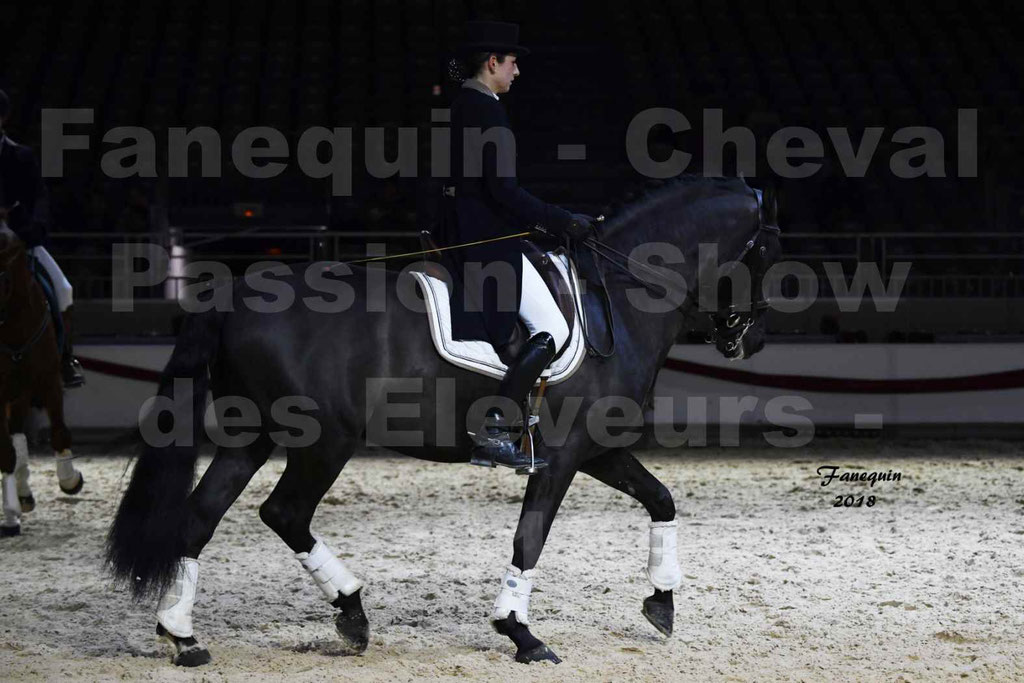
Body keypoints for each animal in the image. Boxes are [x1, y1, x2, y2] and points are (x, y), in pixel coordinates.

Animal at [105, 176, 774, 667]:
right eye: (769, 247)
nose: (749, 340)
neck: (619, 294)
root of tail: (234, 295)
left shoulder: (598, 448)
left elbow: (661, 498)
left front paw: (662, 601)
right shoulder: (560, 457)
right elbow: (529, 538)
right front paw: (520, 634)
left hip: (252, 437)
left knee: (200, 518)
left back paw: (185, 635)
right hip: (324, 442)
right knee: (284, 512)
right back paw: (349, 612)